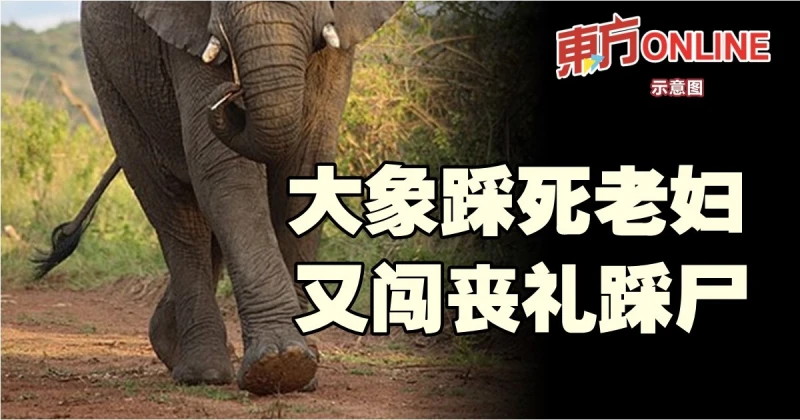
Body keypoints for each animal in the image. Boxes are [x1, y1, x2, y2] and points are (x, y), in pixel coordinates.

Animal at [32, 1, 404, 395]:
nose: (232, 94)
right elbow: (226, 168)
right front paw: (281, 365)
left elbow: (306, 160)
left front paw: (298, 370)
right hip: (108, 79)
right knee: (175, 212)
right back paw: (202, 372)